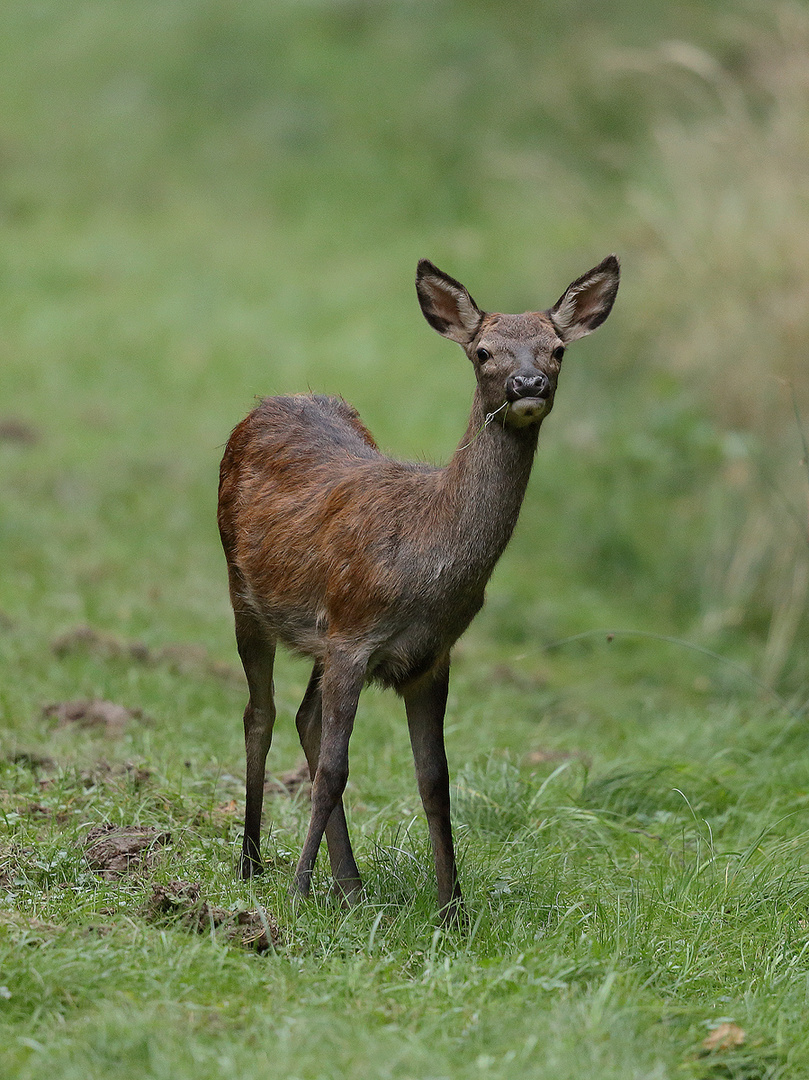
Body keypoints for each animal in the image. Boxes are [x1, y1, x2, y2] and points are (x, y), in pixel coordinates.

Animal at [216, 254, 617, 920]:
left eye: (558, 348)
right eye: (483, 351)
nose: (528, 385)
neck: (425, 566)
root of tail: (274, 399)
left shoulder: (431, 655)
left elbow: (435, 778)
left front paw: (452, 907)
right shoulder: (352, 636)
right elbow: (335, 769)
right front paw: (298, 890)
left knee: (303, 717)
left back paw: (350, 885)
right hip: (243, 592)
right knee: (261, 714)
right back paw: (253, 863)